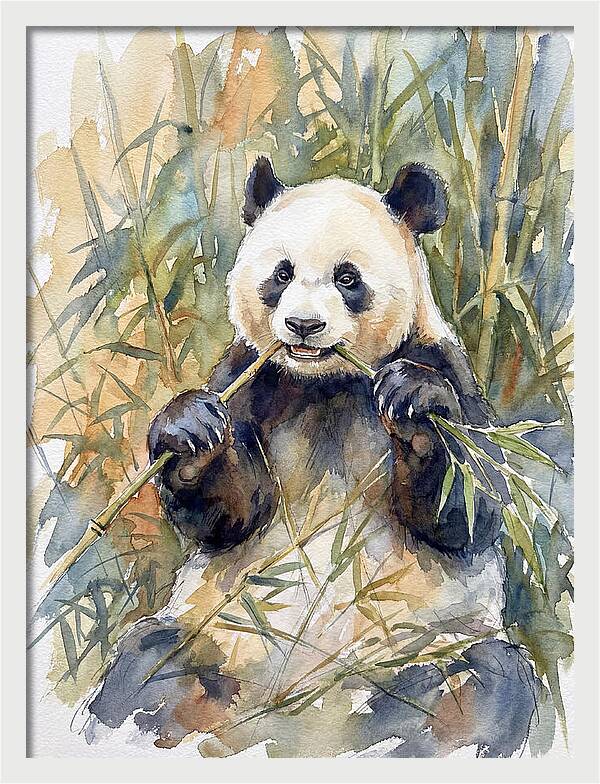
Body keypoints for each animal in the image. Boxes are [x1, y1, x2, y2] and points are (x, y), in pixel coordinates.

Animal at [86, 158, 541, 757]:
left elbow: (471, 507)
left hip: (423, 650)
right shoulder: (251, 376)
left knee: (485, 686)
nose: (303, 326)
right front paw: (189, 432)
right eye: (281, 274)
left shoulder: (442, 363)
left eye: (347, 279)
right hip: (216, 638)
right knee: (144, 669)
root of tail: (296, 715)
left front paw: (416, 406)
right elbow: (234, 514)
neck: (327, 383)